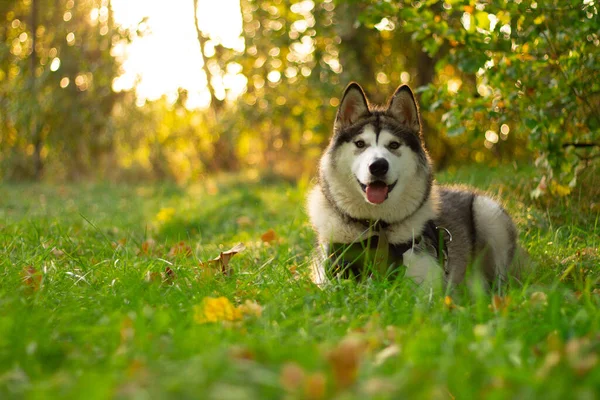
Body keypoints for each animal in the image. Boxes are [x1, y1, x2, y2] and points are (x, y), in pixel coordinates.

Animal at [308, 82, 524, 288]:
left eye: (393, 145)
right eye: (360, 144)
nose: (378, 166)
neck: (378, 228)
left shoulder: (428, 286)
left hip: (488, 212)